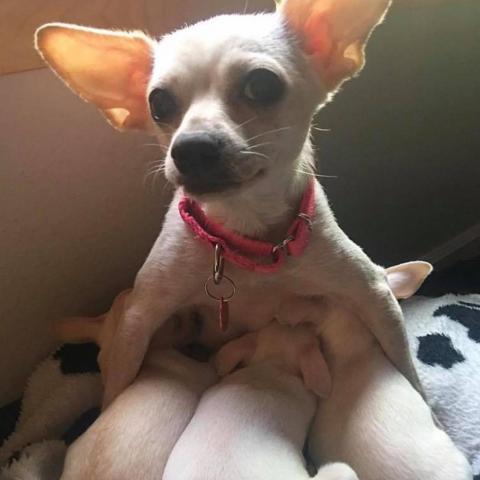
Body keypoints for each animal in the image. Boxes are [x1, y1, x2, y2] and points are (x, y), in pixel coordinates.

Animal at [35, 0, 421, 413]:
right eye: (158, 104)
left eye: (261, 85)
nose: (190, 148)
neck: (245, 237)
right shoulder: (138, 320)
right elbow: (116, 392)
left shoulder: (372, 292)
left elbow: (406, 367)